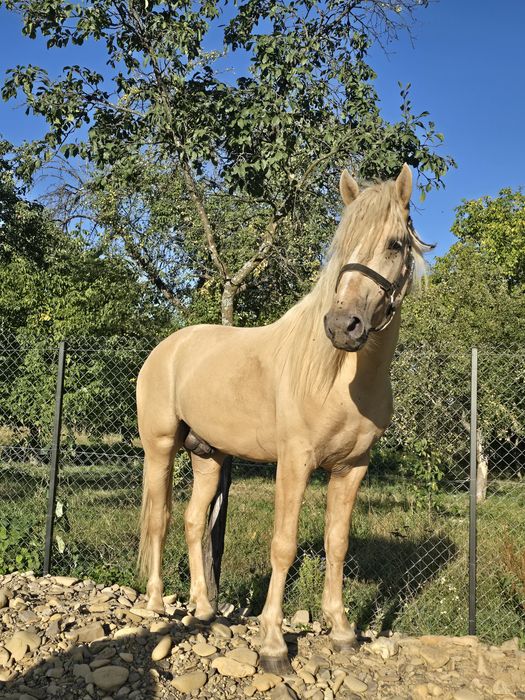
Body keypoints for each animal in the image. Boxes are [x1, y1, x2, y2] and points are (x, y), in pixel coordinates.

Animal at [136, 164, 431, 673]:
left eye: (395, 243)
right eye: (340, 244)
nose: (342, 326)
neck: (339, 378)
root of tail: (166, 349)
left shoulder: (353, 468)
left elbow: (337, 543)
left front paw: (342, 631)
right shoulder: (294, 463)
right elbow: (284, 545)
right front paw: (273, 644)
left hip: (208, 456)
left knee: (194, 522)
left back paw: (206, 610)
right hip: (160, 447)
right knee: (161, 518)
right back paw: (157, 606)